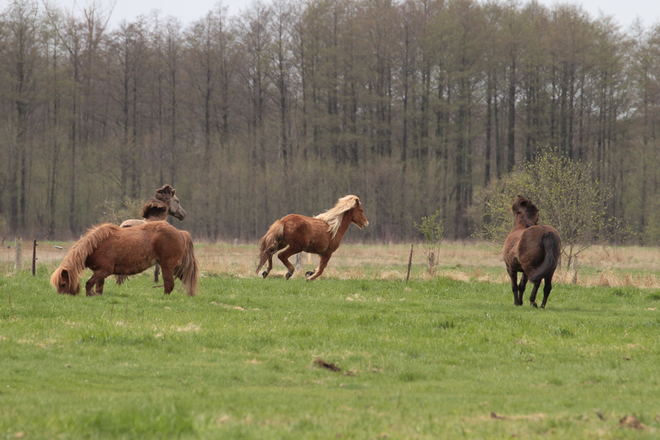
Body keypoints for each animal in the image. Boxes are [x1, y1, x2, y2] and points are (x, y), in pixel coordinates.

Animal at [51, 222, 199, 298]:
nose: (62, 298)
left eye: (63, 284)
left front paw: (89, 295)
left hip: (167, 267)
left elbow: (89, 284)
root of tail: (181, 233)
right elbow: (99, 287)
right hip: (176, 268)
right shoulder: (100, 273)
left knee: (169, 285)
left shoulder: (104, 271)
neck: (96, 245)